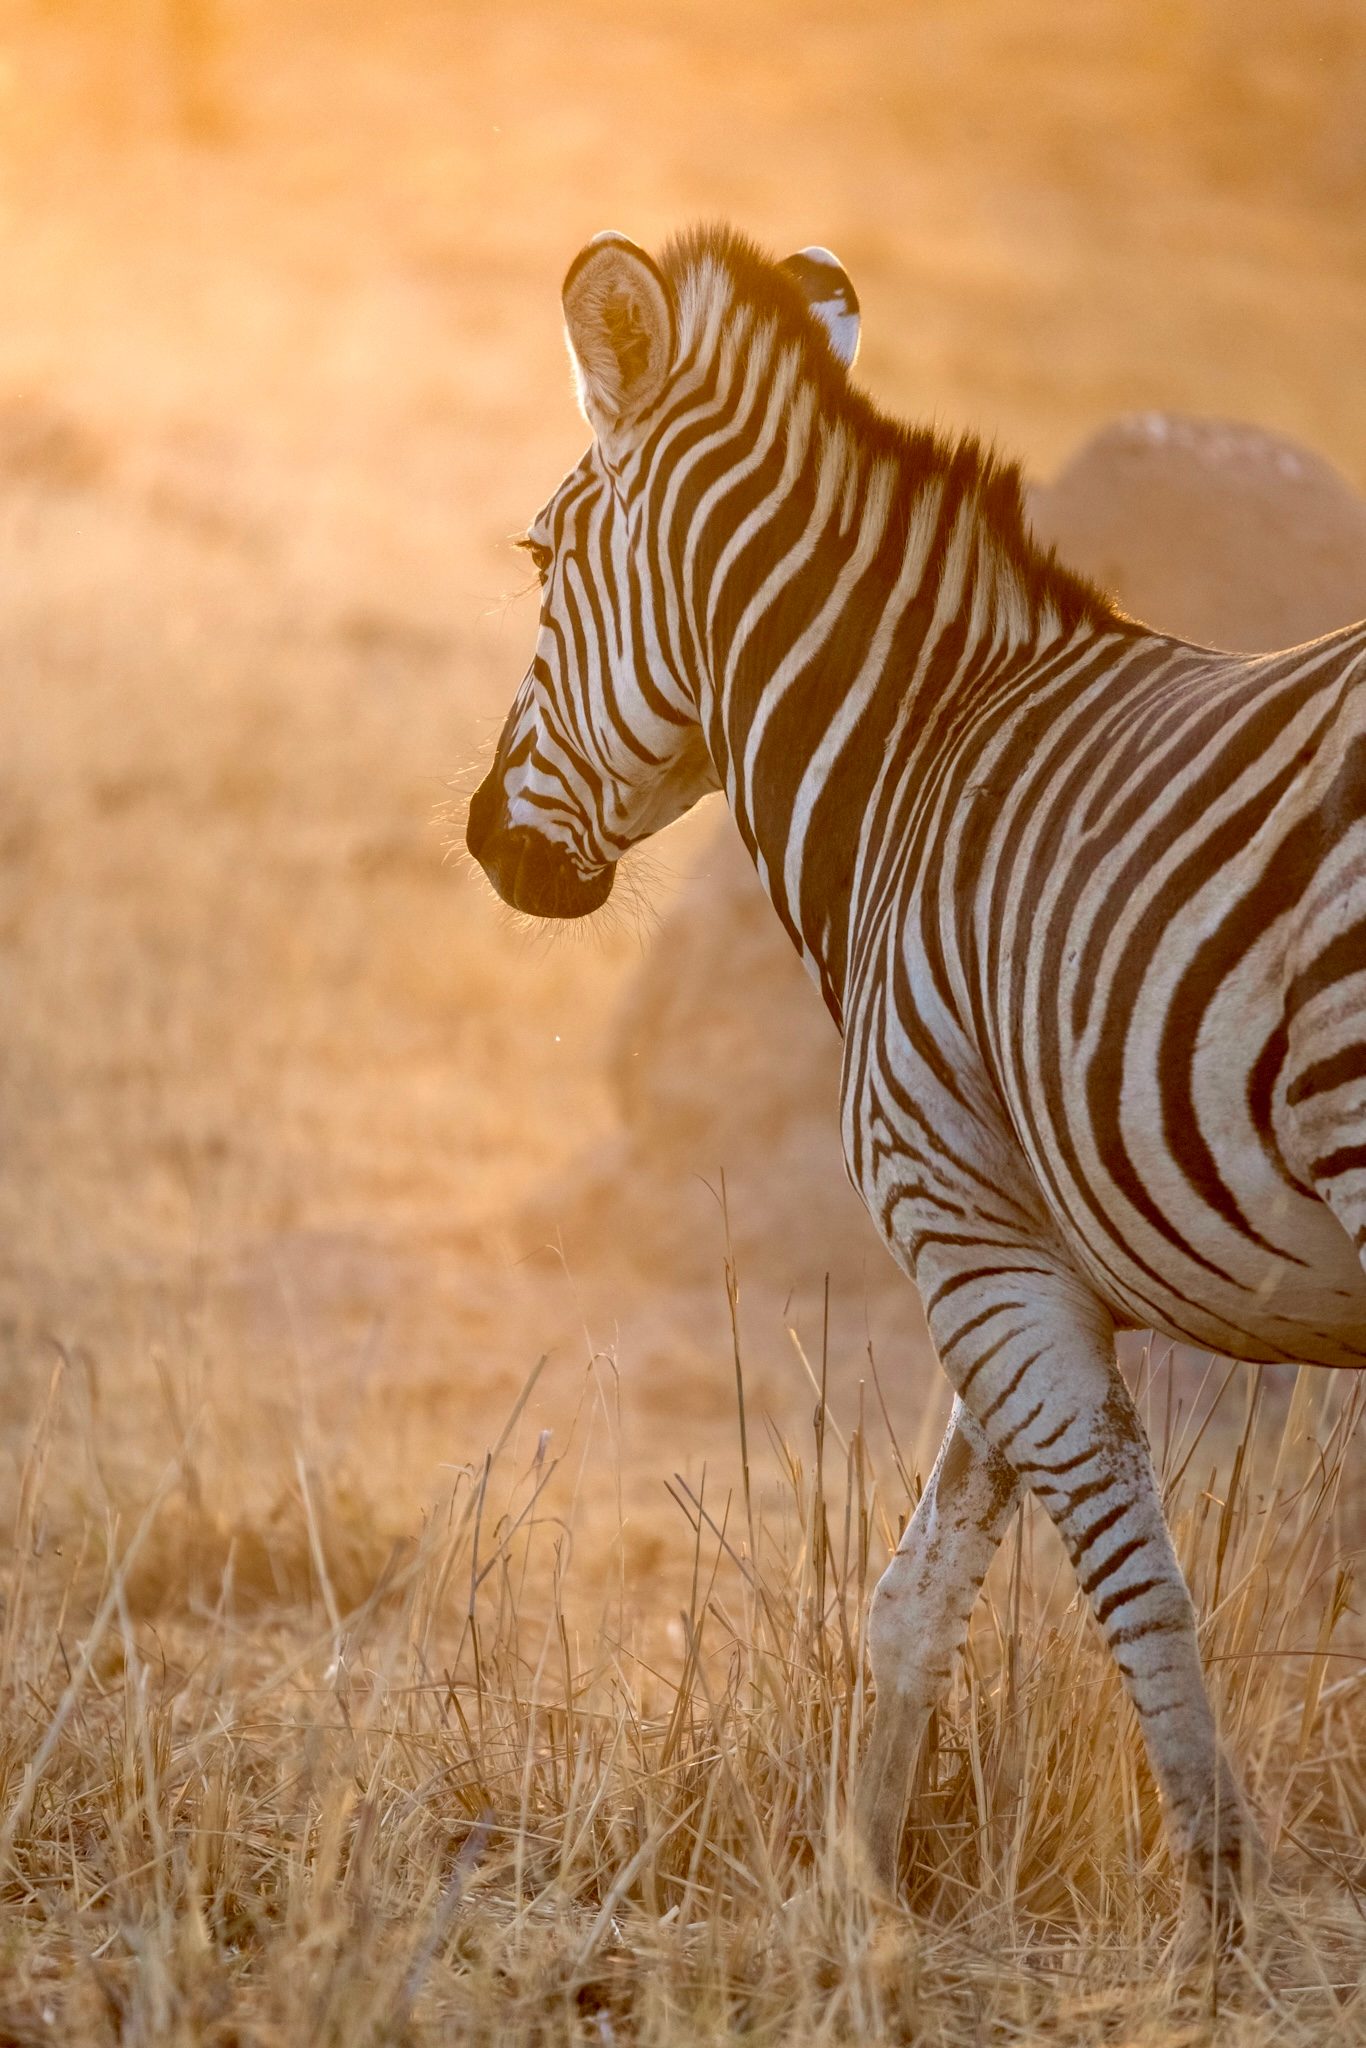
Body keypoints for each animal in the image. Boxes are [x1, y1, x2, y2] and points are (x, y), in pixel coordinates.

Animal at [465, 224, 1366, 1923]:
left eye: (543, 561)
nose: (489, 846)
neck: (909, 761)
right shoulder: (1023, 1248)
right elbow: (918, 1582)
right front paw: (853, 1889)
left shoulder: (960, 1229)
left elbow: (1131, 1577)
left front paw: (1217, 1904)